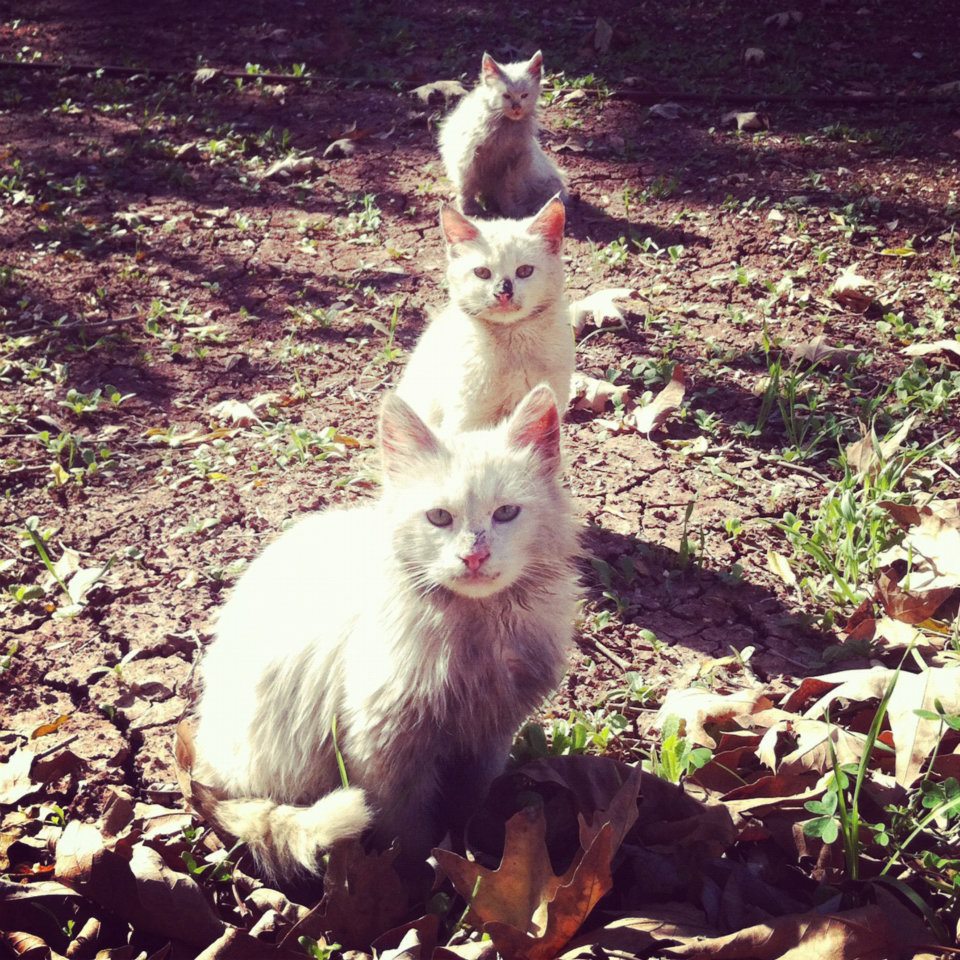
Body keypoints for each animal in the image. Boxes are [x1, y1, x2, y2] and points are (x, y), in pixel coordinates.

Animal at [191, 384, 580, 880]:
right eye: (439, 518)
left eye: (506, 513)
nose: (474, 557)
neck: (475, 636)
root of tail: (203, 766)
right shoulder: (383, 747)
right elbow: (407, 833)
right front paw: (418, 881)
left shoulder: (490, 736)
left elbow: (471, 805)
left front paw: (467, 855)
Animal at [439, 50, 567, 218]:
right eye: (506, 96)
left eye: (524, 95)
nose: (516, 107)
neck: (504, 127)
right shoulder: (467, 158)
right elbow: (466, 187)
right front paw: (468, 209)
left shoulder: (515, 163)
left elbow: (506, 190)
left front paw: (510, 211)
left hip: (549, 183)